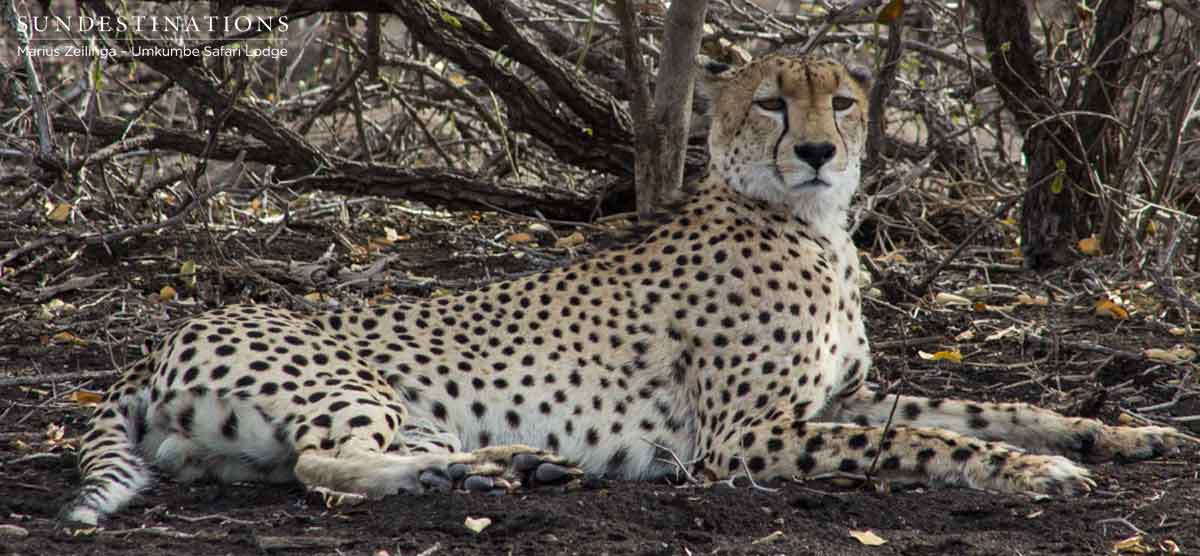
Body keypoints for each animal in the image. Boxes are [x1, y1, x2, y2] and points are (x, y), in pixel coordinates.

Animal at [61, 54, 1192, 526]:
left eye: (842, 100)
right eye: (772, 103)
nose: (819, 151)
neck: (811, 224)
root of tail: (161, 338)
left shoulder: (845, 394)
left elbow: (985, 404)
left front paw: (1122, 433)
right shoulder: (748, 438)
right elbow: (928, 440)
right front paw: (1031, 473)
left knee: (309, 469)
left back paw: (505, 467)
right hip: (354, 383)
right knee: (320, 467)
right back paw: (462, 478)